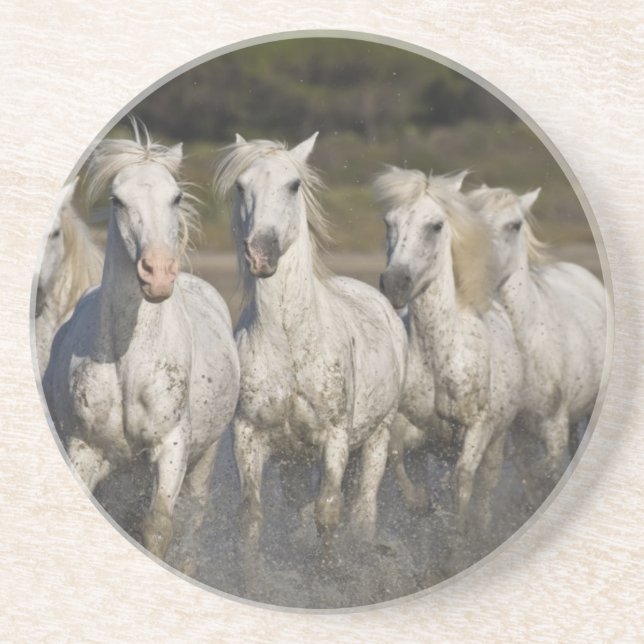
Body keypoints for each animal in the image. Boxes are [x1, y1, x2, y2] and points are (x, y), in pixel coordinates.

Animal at [43, 123, 240, 568]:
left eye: (176, 197)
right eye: (117, 200)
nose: (158, 274)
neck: (127, 362)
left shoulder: (171, 447)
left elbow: (159, 527)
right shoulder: (85, 450)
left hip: (203, 460)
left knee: (192, 519)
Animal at [213, 133, 407, 584]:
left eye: (293, 185)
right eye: (241, 186)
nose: (261, 253)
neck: (289, 340)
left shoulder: (334, 437)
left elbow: (329, 510)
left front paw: (326, 575)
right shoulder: (247, 436)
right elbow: (251, 514)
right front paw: (250, 579)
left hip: (376, 436)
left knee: (363, 508)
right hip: (295, 461)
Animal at [375, 167, 523, 553]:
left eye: (436, 225)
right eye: (389, 221)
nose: (395, 284)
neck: (438, 357)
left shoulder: (478, 427)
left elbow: (462, 479)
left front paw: (457, 542)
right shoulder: (412, 427)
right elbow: (394, 457)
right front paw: (420, 503)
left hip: (497, 440)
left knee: (486, 486)